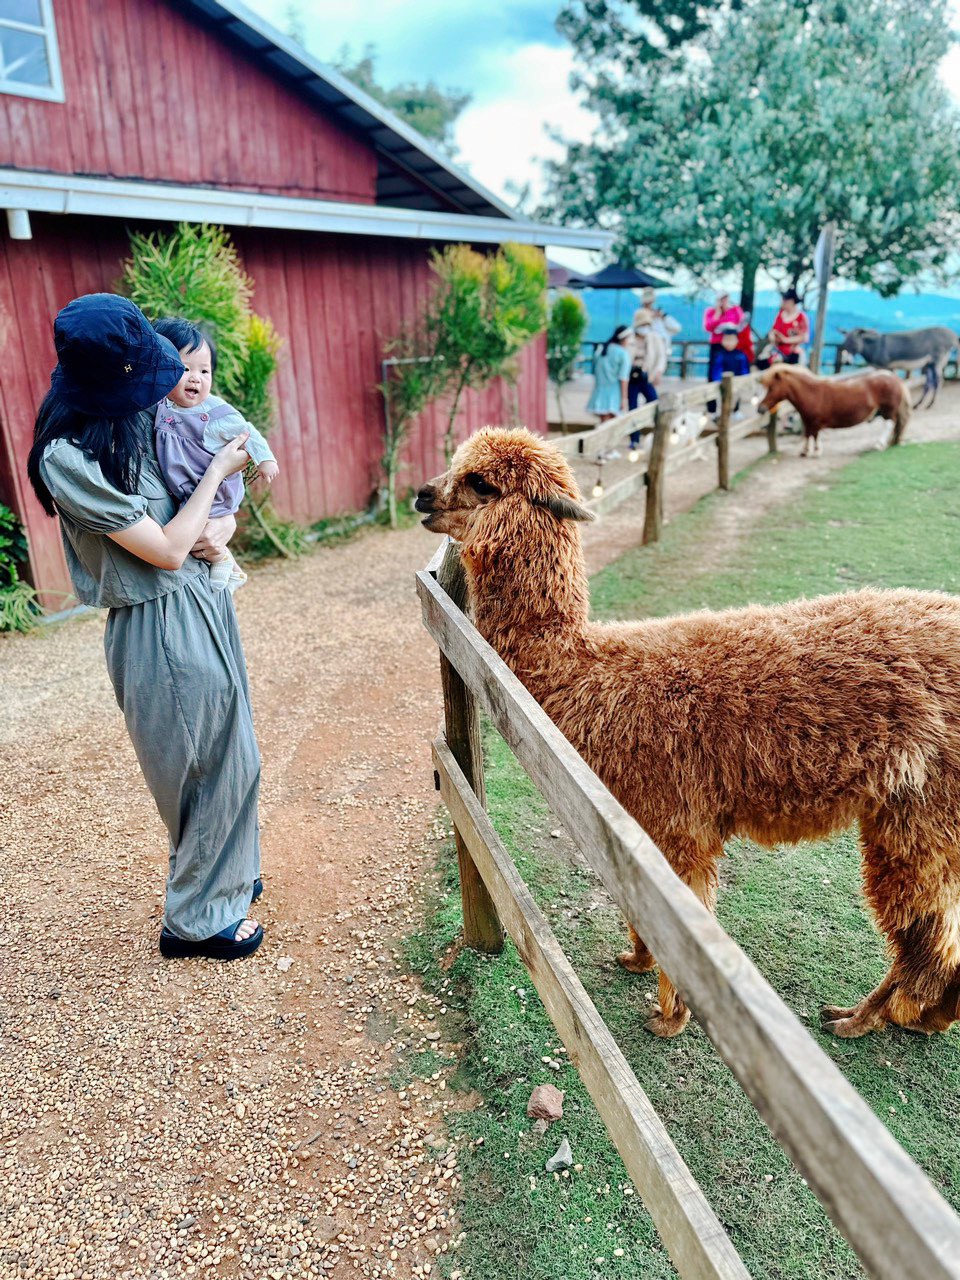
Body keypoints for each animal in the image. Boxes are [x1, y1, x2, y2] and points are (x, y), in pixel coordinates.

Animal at [757, 366, 911, 455]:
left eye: (771, 387)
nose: (760, 408)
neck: (812, 393)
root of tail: (894, 377)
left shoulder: (815, 421)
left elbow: (815, 434)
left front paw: (816, 451)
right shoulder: (807, 420)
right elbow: (808, 434)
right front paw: (805, 451)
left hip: (888, 411)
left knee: (889, 424)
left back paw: (879, 444)